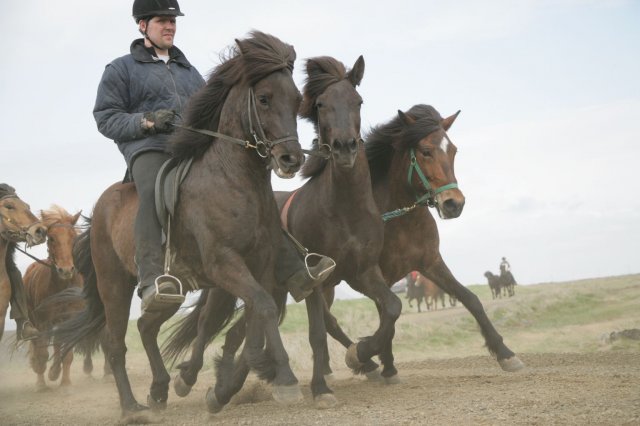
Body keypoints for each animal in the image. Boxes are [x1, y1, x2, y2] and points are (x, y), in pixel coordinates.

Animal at [51, 31, 306, 418]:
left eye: (297, 100)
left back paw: (159, 388)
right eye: (263, 98)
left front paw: (228, 379)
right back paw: (132, 407)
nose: (292, 159)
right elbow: (260, 307)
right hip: (115, 284)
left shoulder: (258, 264)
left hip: (171, 290)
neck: (231, 179)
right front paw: (283, 378)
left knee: (145, 326)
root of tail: (99, 210)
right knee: (114, 344)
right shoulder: (224, 263)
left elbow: (255, 311)